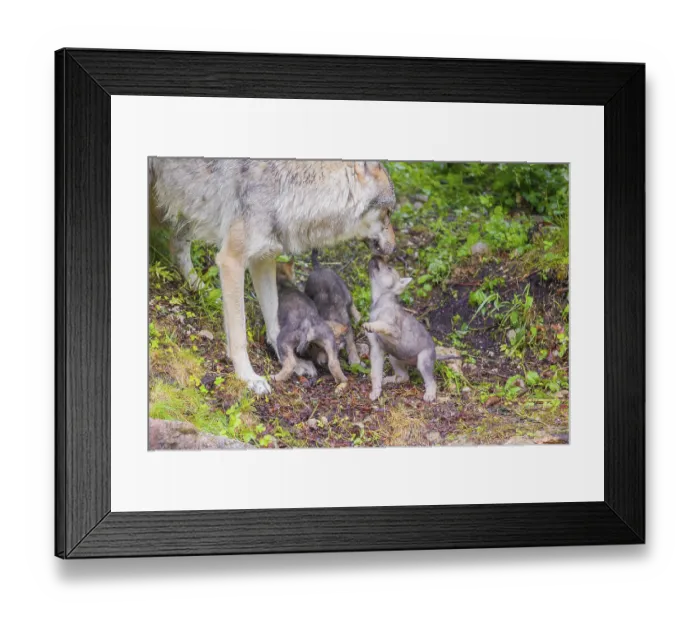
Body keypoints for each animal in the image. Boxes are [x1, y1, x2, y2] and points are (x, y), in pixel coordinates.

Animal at [148, 158, 396, 394]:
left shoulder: (263, 259)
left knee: (177, 249)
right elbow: (239, 336)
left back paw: (205, 291)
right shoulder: (232, 260)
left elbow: (273, 319)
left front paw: (291, 361)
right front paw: (248, 377)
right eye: (389, 212)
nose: (394, 248)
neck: (287, 190)